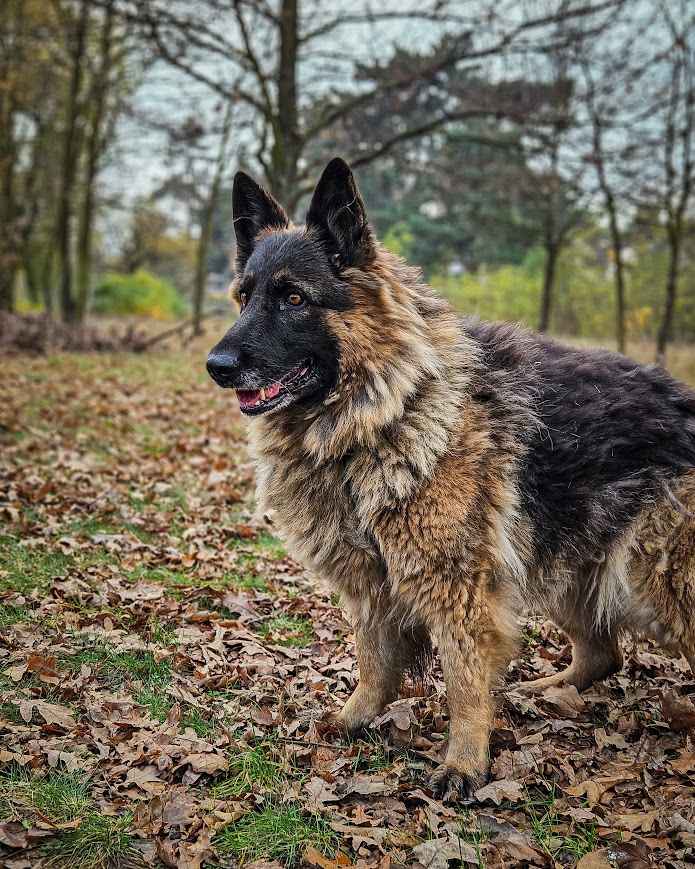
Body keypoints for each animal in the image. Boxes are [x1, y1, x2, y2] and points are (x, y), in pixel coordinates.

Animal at [207, 158, 695, 800]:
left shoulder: (456, 586)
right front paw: (355, 718)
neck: (389, 405)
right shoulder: (372, 583)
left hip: (652, 577)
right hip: (571, 566)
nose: (216, 366)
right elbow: (374, 659)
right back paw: (546, 692)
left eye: (292, 298)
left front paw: (464, 760)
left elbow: (463, 677)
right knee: (602, 654)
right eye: (244, 298)